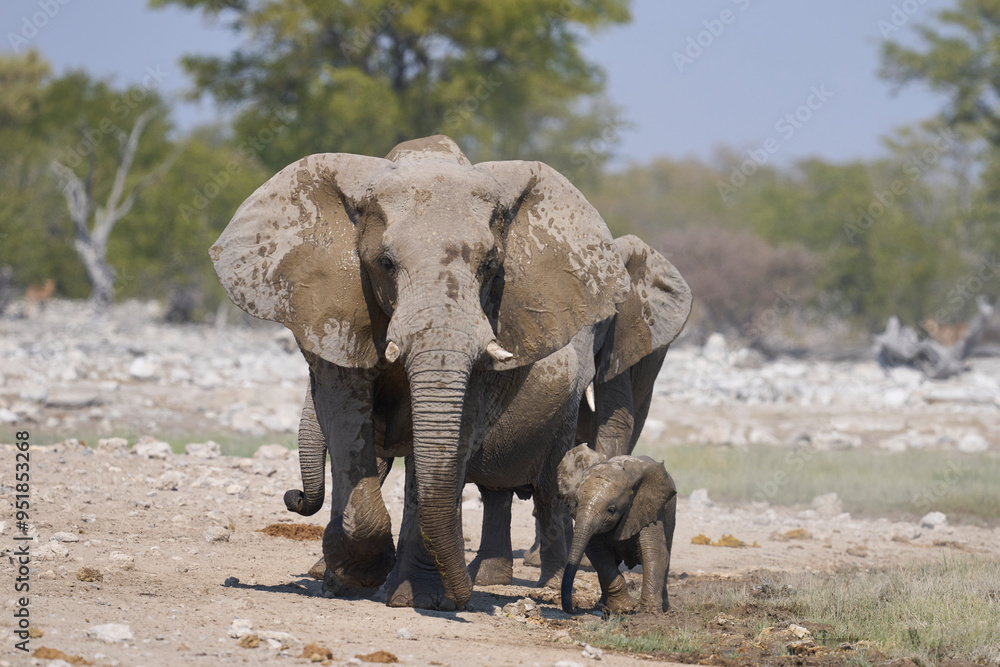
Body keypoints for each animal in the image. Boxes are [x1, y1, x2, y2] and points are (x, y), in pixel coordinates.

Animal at [211, 134, 668, 610]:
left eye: (490, 265)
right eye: (386, 263)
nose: (293, 496)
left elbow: (447, 436)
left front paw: (415, 597)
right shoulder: (337, 308)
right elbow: (348, 419)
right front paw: (352, 576)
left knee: (543, 489)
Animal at [557, 444, 677, 614]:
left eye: (612, 510)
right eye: (576, 503)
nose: (573, 609)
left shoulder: (650, 508)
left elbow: (655, 552)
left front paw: (649, 614)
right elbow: (598, 553)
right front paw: (624, 608)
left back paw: (666, 610)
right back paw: (602, 606)